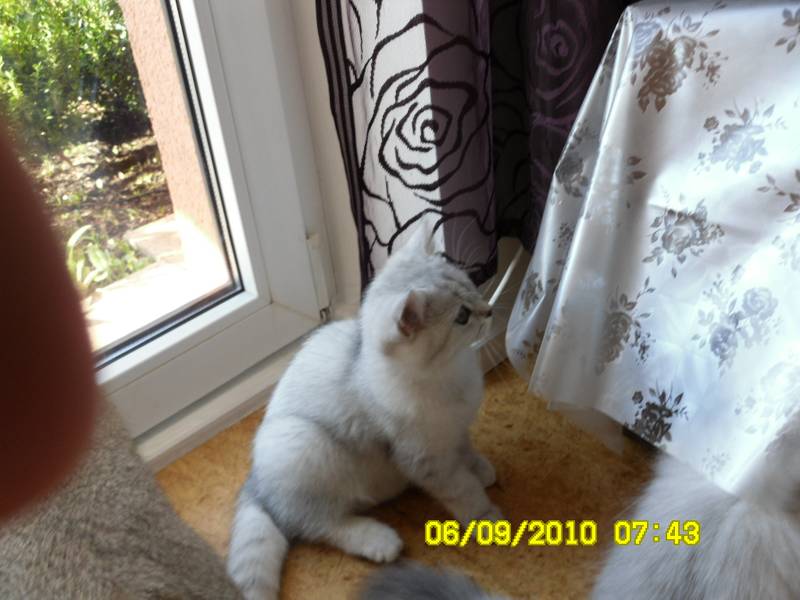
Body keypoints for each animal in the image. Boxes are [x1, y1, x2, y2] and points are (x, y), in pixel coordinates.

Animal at [226, 221, 502, 600]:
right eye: (461, 316)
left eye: (471, 285)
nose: (489, 310)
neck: (450, 372)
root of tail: (256, 479)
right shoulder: (426, 459)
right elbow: (462, 488)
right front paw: (485, 516)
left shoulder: (454, 431)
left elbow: (466, 451)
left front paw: (481, 468)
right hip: (306, 444)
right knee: (317, 523)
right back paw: (377, 539)